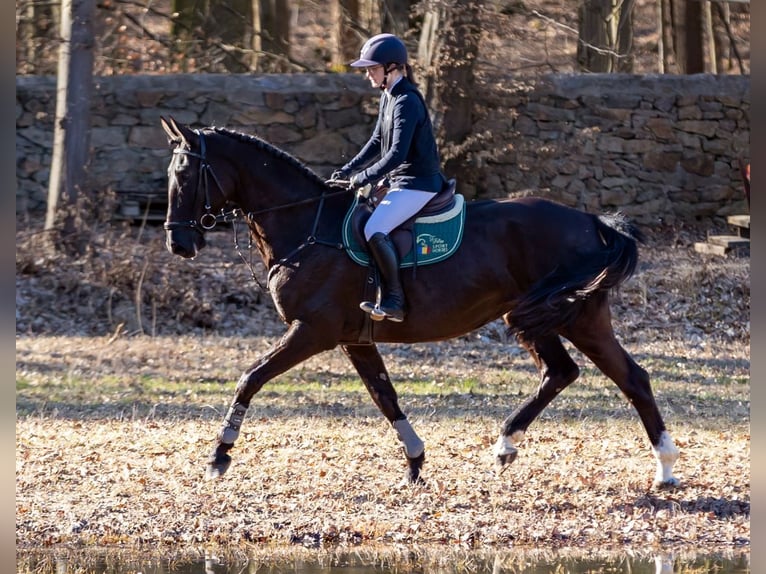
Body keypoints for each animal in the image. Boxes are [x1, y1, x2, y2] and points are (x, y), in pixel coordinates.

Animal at [160, 116, 680, 488]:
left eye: (185, 174)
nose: (178, 244)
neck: (306, 224)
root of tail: (592, 221)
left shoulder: (312, 331)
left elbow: (250, 377)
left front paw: (220, 454)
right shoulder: (354, 339)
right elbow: (384, 395)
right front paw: (415, 461)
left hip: (580, 318)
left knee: (631, 378)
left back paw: (666, 468)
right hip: (541, 317)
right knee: (562, 372)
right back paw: (507, 445)